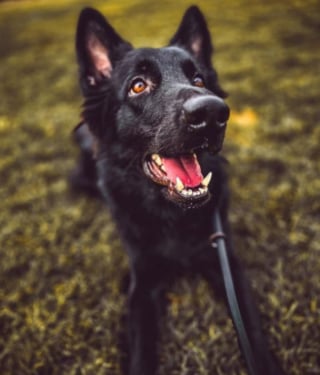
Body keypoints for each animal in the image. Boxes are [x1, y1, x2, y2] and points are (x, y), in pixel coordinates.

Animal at [72, 5, 284, 375]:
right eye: (138, 86)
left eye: (198, 80)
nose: (212, 113)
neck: (172, 216)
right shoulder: (142, 283)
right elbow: (141, 351)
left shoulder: (227, 264)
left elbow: (255, 335)